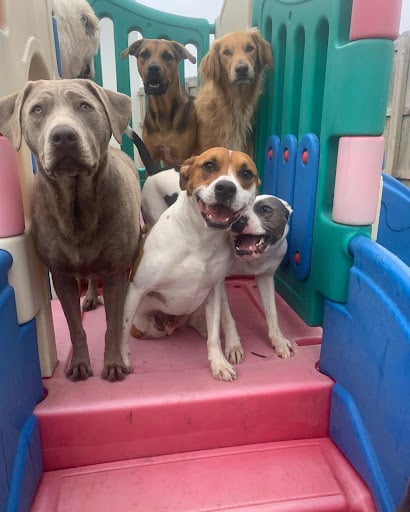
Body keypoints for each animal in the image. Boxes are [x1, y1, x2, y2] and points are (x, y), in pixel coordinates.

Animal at [0, 80, 142, 382]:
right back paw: (89, 297)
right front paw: (78, 363)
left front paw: (113, 363)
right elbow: (75, 326)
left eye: (85, 106)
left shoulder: (115, 272)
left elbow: (113, 324)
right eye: (37, 110)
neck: (77, 206)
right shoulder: (61, 276)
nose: (63, 136)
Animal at [120, 147, 260, 380]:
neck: (200, 239)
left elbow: (214, 334)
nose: (226, 188)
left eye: (246, 173)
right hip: (144, 325)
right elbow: (122, 332)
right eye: (209, 165)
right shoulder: (136, 289)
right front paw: (120, 361)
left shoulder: (214, 291)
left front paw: (218, 363)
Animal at [121, 40, 198, 168]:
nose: (153, 68)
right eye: (144, 54)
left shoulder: (182, 156)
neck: (163, 110)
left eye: (167, 56)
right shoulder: (151, 155)